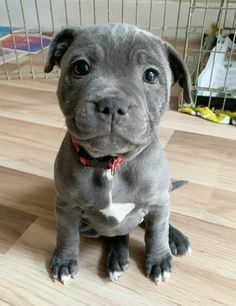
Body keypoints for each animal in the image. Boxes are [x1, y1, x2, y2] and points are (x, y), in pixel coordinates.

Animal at [44, 23, 192, 284]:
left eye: (151, 75)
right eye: (81, 67)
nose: (112, 104)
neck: (111, 163)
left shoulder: (158, 202)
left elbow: (156, 231)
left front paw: (159, 258)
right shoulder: (66, 207)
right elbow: (67, 235)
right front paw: (64, 261)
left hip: (161, 198)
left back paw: (175, 238)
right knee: (118, 234)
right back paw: (117, 259)